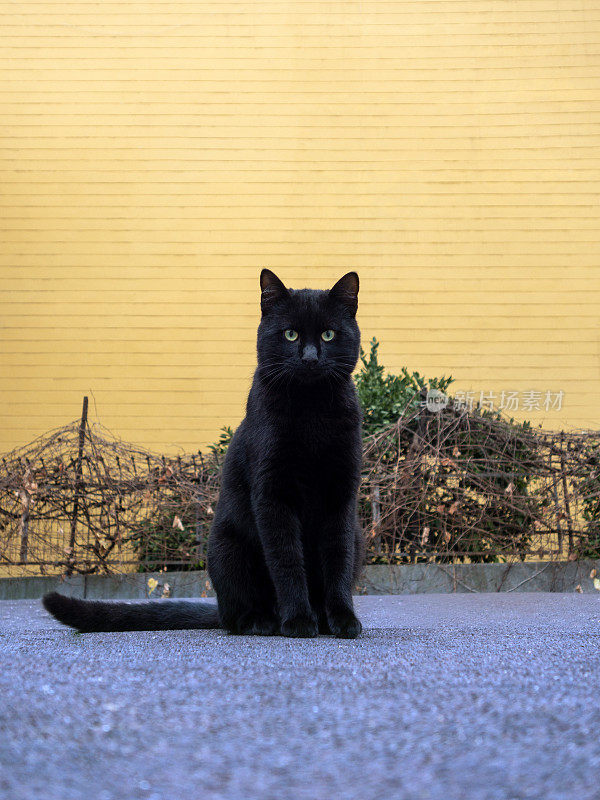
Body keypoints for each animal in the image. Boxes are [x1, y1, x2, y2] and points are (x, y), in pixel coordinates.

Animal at [44, 272, 364, 640]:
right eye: (290, 334)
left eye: (329, 334)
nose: (311, 358)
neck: (312, 411)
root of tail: (219, 613)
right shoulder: (272, 495)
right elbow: (286, 561)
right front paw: (298, 620)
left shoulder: (341, 495)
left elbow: (338, 560)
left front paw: (342, 618)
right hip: (227, 548)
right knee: (237, 615)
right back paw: (264, 621)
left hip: (358, 537)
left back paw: (321, 618)